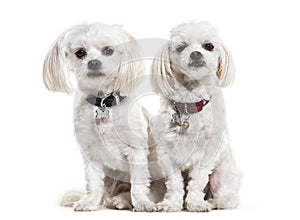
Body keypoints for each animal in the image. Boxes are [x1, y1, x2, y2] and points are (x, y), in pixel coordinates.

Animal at [44, 22, 157, 211]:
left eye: (108, 50)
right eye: (80, 52)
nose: (94, 62)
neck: (104, 102)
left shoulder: (137, 150)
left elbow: (138, 184)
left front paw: (142, 203)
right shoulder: (91, 152)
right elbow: (94, 183)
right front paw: (90, 202)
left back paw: (123, 200)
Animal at [151, 21, 240, 211]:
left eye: (209, 46)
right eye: (181, 47)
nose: (196, 53)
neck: (189, 103)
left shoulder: (208, 152)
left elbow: (198, 180)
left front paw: (196, 203)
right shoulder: (167, 151)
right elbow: (174, 183)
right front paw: (171, 203)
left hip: (222, 174)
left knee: (229, 195)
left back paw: (217, 202)